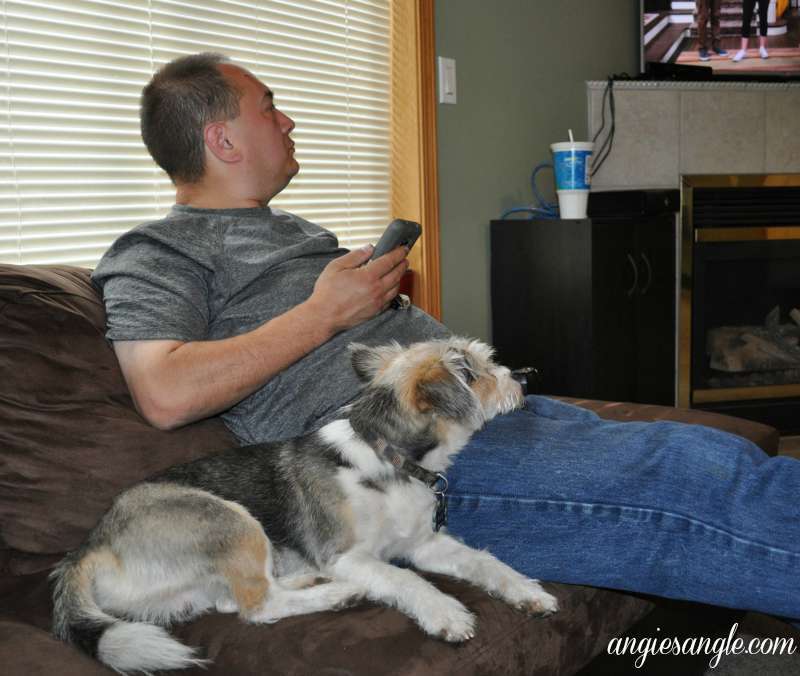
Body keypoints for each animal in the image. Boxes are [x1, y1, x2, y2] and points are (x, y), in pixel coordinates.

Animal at [51, 336, 556, 672]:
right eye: (479, 372)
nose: (527, 377)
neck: (387, 458)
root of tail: (88, 549)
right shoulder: (347, 555)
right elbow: (406, 579)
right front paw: (446, 613)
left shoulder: (424, 545)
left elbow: (484, 562)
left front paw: (527, 591)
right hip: (232, 521)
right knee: (256, 607)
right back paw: (338, 593)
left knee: (235, 602)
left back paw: (311, 582)